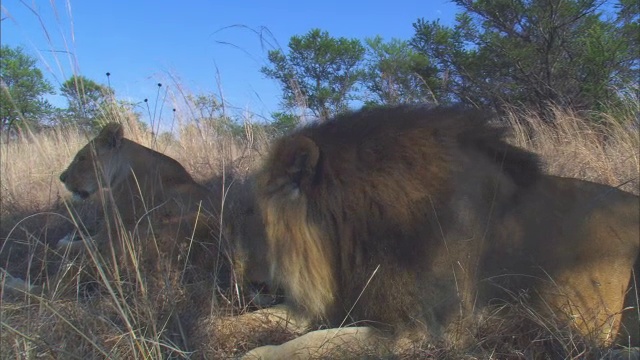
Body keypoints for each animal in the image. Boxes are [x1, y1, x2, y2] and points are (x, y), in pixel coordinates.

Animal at [244, 105, 636, 358]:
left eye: (254, 219)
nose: (251, 285)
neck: (353, 235)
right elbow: (254, 321)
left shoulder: (425, 332)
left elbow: (304, 346)